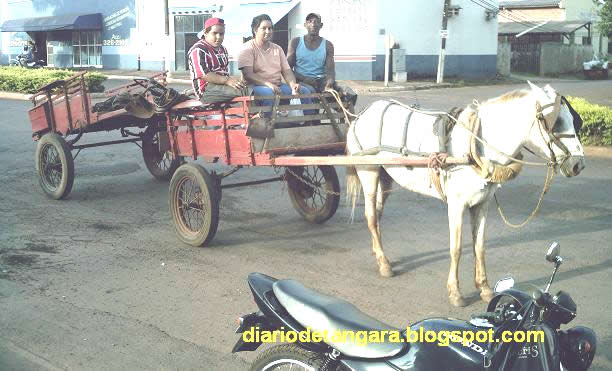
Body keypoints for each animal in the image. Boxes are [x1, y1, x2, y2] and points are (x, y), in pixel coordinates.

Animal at [346, 83, 584, 306]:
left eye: (573, 120)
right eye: (556, 121)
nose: (578, 164)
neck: (476, 146)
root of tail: (362, 115)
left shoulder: (482, 205)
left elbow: (480, 246)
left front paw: (484, 288)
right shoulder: (457, 205)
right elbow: (457, 248)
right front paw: (455, 292)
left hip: (386, 177)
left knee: (377, 215)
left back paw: (378, 254)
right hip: (369, 172)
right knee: (370, 216)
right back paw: (384, 264)